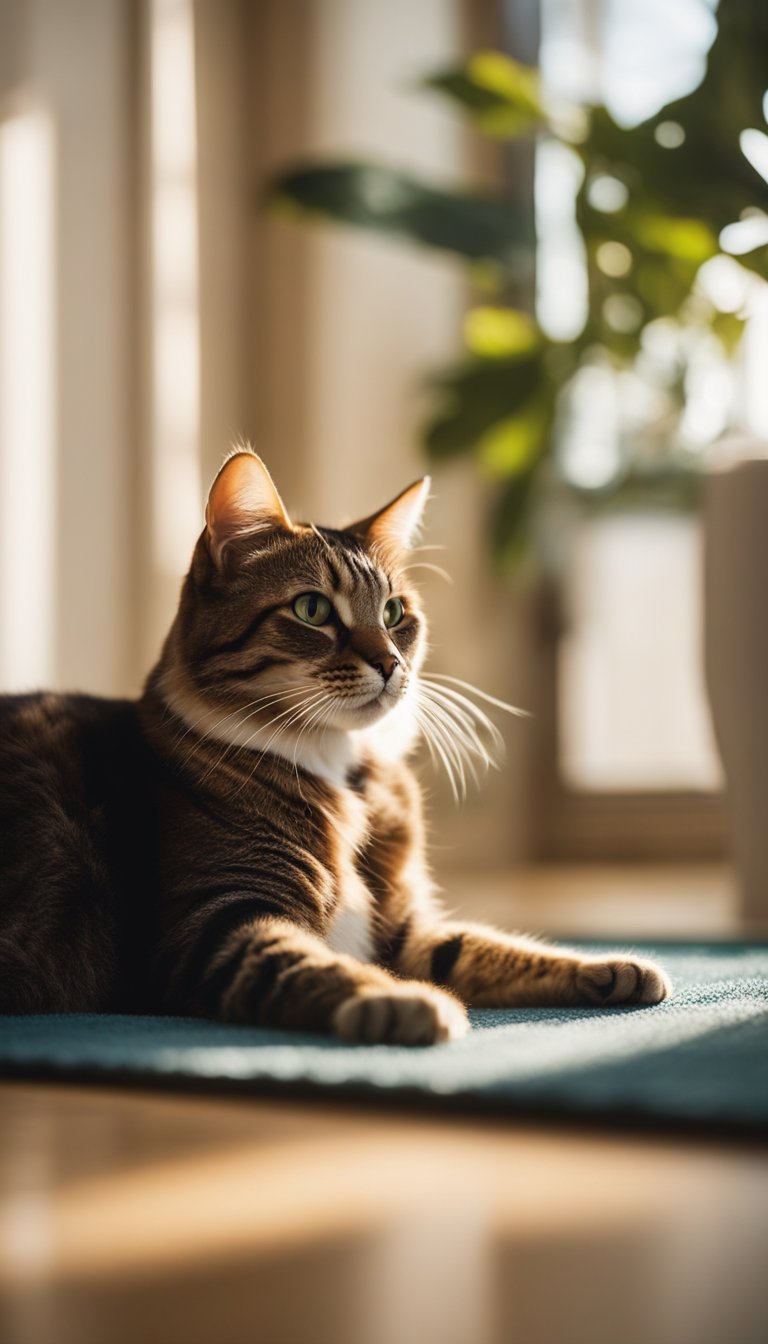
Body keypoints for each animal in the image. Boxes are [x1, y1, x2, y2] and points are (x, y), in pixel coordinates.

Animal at [0, 451, 672, 1037]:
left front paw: (611, 967)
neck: (338, 767)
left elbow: (478, 945)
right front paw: (401, 1001)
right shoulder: (211, 919)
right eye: (312, 609)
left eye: (396, 612)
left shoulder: (401, 927)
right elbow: (304, 961)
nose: (391, 663)